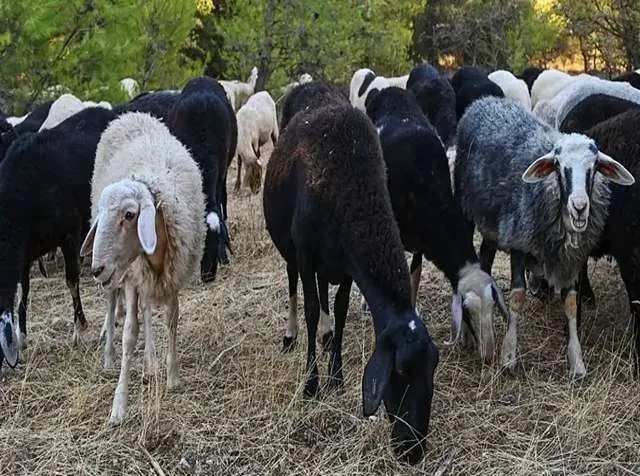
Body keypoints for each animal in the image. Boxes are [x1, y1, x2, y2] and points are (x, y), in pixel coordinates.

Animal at [0, 106, 116, 362]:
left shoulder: (70, 234)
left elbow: (71, 281)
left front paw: (79, 330)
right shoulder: (25, 252)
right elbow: (24, 289)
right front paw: (22, 336)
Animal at [80, 112, 206, 424]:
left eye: (129, 214)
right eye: (101, 216)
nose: (96, 269)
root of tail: (131, 115)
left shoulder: (172, 275)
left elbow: (172, 319)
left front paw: (172, 375)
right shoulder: (132, 278)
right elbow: (129, 334)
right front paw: (119, 405)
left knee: (148, 309)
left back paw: (151, 359)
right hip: (121, 278)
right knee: (113, 305)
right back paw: (109, 358)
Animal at [263, 102, 439, 464]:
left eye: (434, 368)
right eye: (401, 372)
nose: (413, 452)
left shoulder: (345, 267)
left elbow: (341, 310)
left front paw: (338, 376)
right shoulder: (306, 255)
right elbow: (311, 309)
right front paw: (312, 384)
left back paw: (328, 338)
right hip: (290, 252)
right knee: (294, 288)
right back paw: (291, 335)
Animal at [365, 87, 512, 363]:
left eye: (493, 307)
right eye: (467, 311)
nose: (488, 356)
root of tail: (390, 90)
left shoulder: (422, 244)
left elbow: (415, 275)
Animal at [455, 96, 634, 377]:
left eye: (594, 167)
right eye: (560, 166)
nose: (579, 207)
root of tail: (485, 101)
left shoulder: (573, 258)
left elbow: (570, 303)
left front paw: (577, 362)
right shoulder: (519, 242)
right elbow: (517, 297)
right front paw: (509, 356)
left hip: (493, 223)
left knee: (485, 255)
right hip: (466, 209)